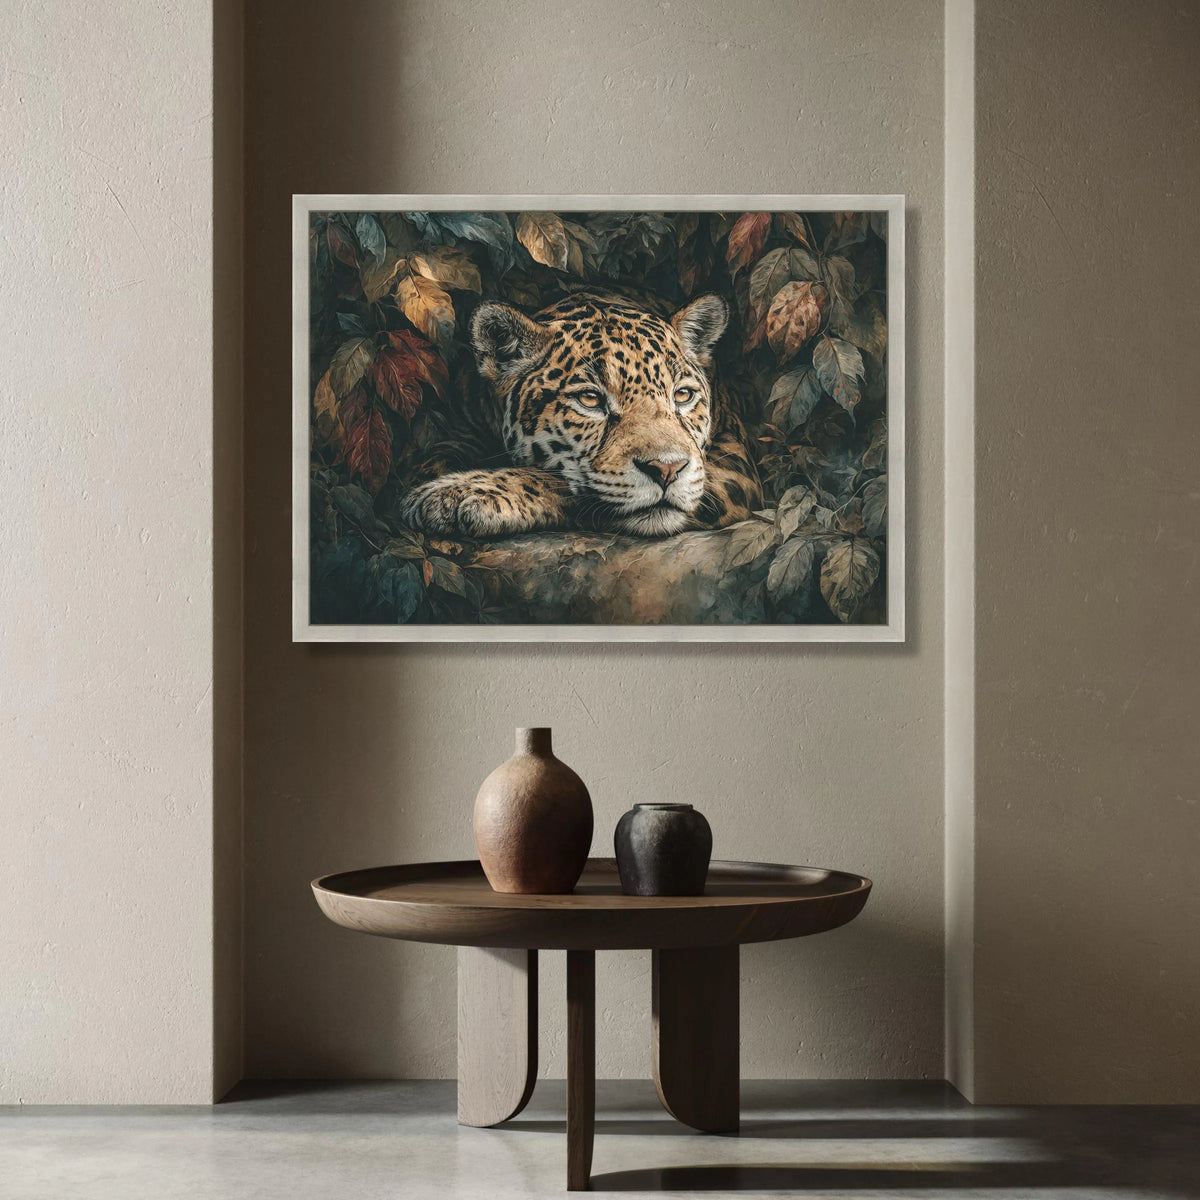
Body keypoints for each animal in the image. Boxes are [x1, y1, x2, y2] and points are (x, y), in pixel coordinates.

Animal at [398, 289, 762, 539]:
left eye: (683, 396)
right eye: (590, 399)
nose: (667, 469)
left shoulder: (733, 468)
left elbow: (559, 482)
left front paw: (463, 493)